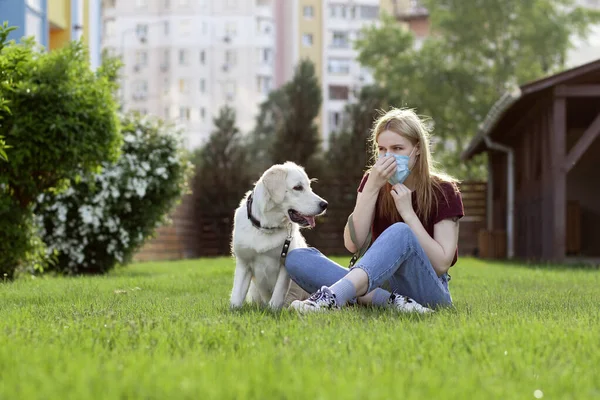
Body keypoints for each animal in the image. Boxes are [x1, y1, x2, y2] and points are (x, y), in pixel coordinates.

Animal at [231, 162, 328, 310]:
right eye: (298, 187)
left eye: (309, 186)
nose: (325, 204)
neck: (266, 228)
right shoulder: (243, 263)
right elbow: (236, 298)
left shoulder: (284, 266)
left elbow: (277, 295)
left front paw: (273, 311)